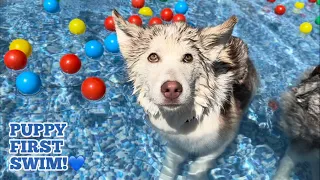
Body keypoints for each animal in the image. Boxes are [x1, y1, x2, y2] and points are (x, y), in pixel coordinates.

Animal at [112, 10, 260, 180]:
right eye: (153, 57)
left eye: (188, 57)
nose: (171, 89)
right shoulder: (176, 146)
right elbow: (170, 166)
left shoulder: (219, 146)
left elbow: (196, 169)